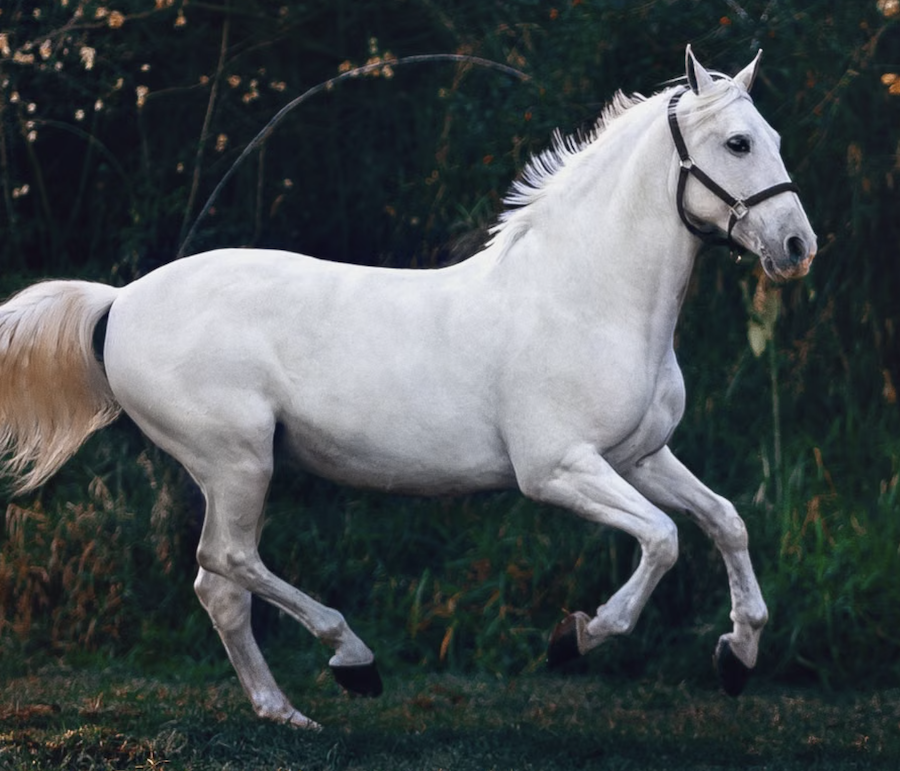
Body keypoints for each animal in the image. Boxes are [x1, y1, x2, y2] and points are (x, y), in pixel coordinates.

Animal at [0, 46, 816, 729]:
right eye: (738, 143)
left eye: (772, 136)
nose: (797, 246)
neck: (584, 296)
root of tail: (120, 301)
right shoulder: (558, 469)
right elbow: (664, 539)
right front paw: (576, 637)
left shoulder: (639, 457)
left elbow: (725, 521)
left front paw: (738, 656)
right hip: (236, 462)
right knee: (227, 564)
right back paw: (351, 659)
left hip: (234, 469)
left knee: (220, 587)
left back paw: (285, 711)